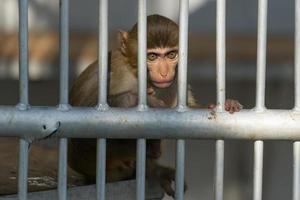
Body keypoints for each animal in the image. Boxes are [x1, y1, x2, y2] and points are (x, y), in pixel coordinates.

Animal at [68, 14, 241, 197]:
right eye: (152, 57)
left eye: (171, 55)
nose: (164, 72)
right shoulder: (119, 75)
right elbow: (84, 131)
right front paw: (135, 100)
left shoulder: (175, 81)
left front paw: (225, 104)